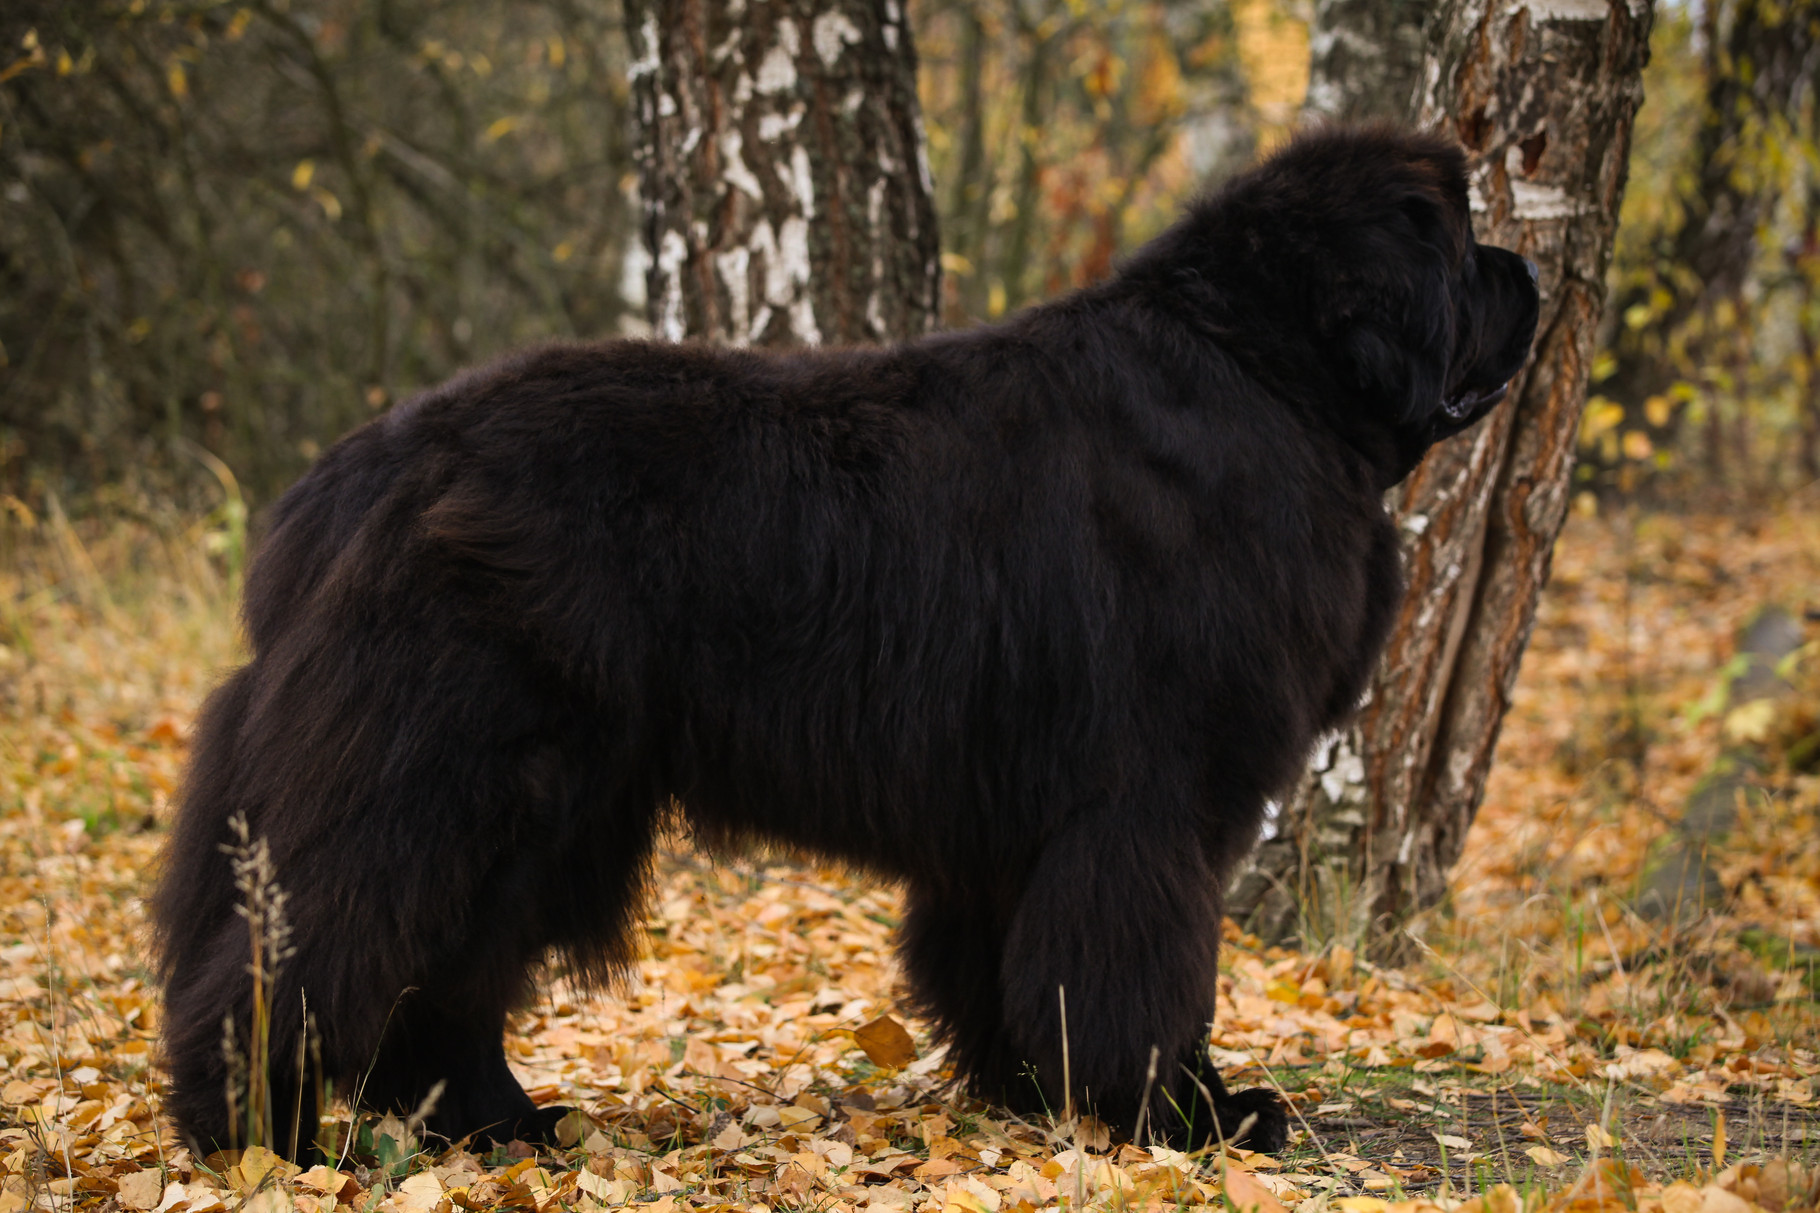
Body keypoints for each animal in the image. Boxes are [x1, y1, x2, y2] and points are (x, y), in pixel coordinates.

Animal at [152, 127, 1536, 1158]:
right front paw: (1186, 1112)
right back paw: (263, 1135)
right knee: (309, 941)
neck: (1263, 369)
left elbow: (1002, 961)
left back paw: (501, 1126)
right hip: (445, 767)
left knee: (449, 976)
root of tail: (362, 470)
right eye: (1457, 245)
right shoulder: (1144, 800)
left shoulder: (1016, 809)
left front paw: (1031, 1092)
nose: (1527, 272)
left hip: (548, 803)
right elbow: (1143, 963)